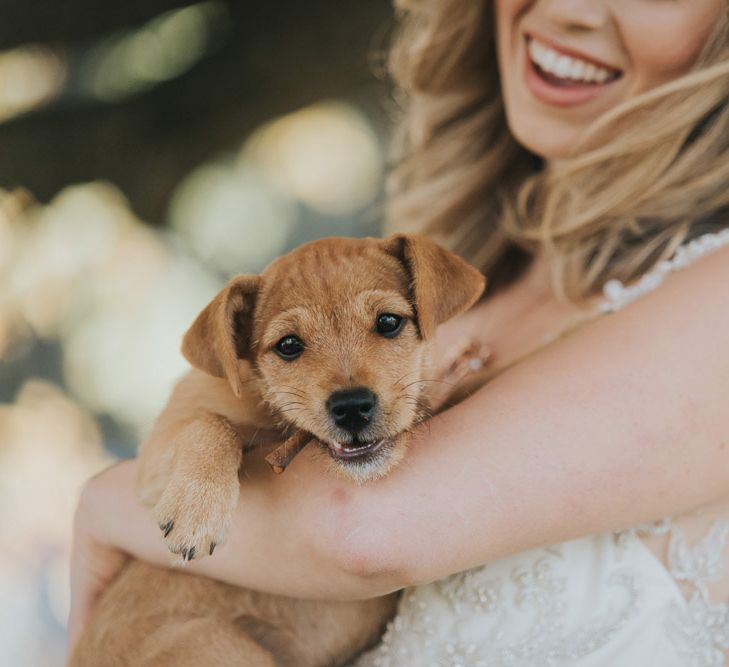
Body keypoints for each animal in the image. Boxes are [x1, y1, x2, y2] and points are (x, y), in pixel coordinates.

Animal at [72, 235, 484, 667]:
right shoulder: (155, 454)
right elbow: (211, 423)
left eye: (389, 322)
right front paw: (197, 511)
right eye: (288, 345)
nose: (352, 407)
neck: (271, 408)